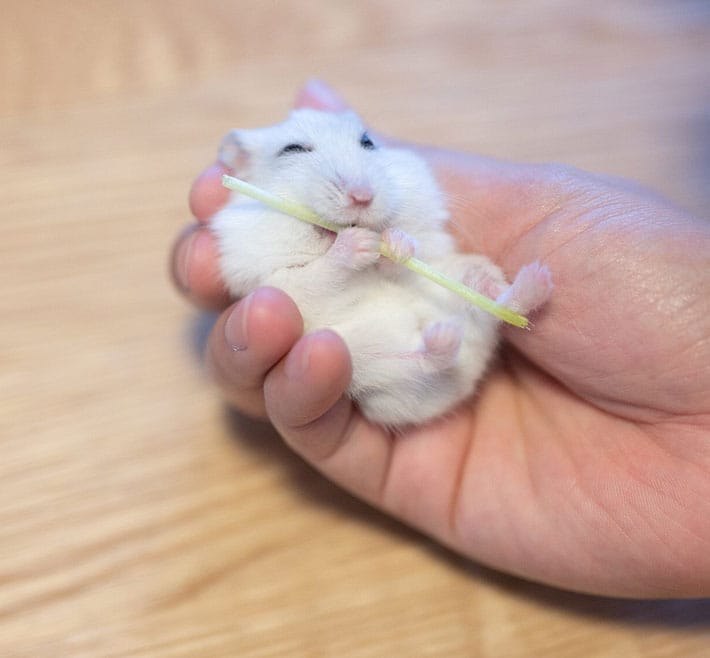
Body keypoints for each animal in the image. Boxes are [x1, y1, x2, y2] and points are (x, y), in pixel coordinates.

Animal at [210, 109, 552, 427]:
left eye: (367, 142)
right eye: (292, 149)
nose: (362, 197)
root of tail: (467, 374)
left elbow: (398, 262)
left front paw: (394, 243)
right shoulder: (281, 283)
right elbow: (320, 274)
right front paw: (361, 242)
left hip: (462, 278)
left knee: (498, 301)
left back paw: (535, 283)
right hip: (366, 363)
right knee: (423, 364)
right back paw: (443, 339)